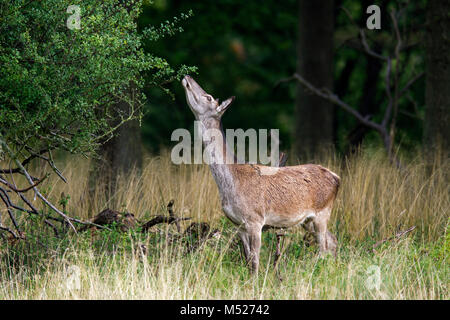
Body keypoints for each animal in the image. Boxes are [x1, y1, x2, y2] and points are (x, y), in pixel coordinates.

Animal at [181, 74, 340, 272]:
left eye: (208, 97)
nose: (187, 76)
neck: (231, 183)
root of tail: (337, 178)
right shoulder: (239, 224)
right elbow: (248, 260)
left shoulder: (255, 219)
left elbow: (255, 260)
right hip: (308, 220)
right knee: (332, 241)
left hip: (322, 212)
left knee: (324, 248)